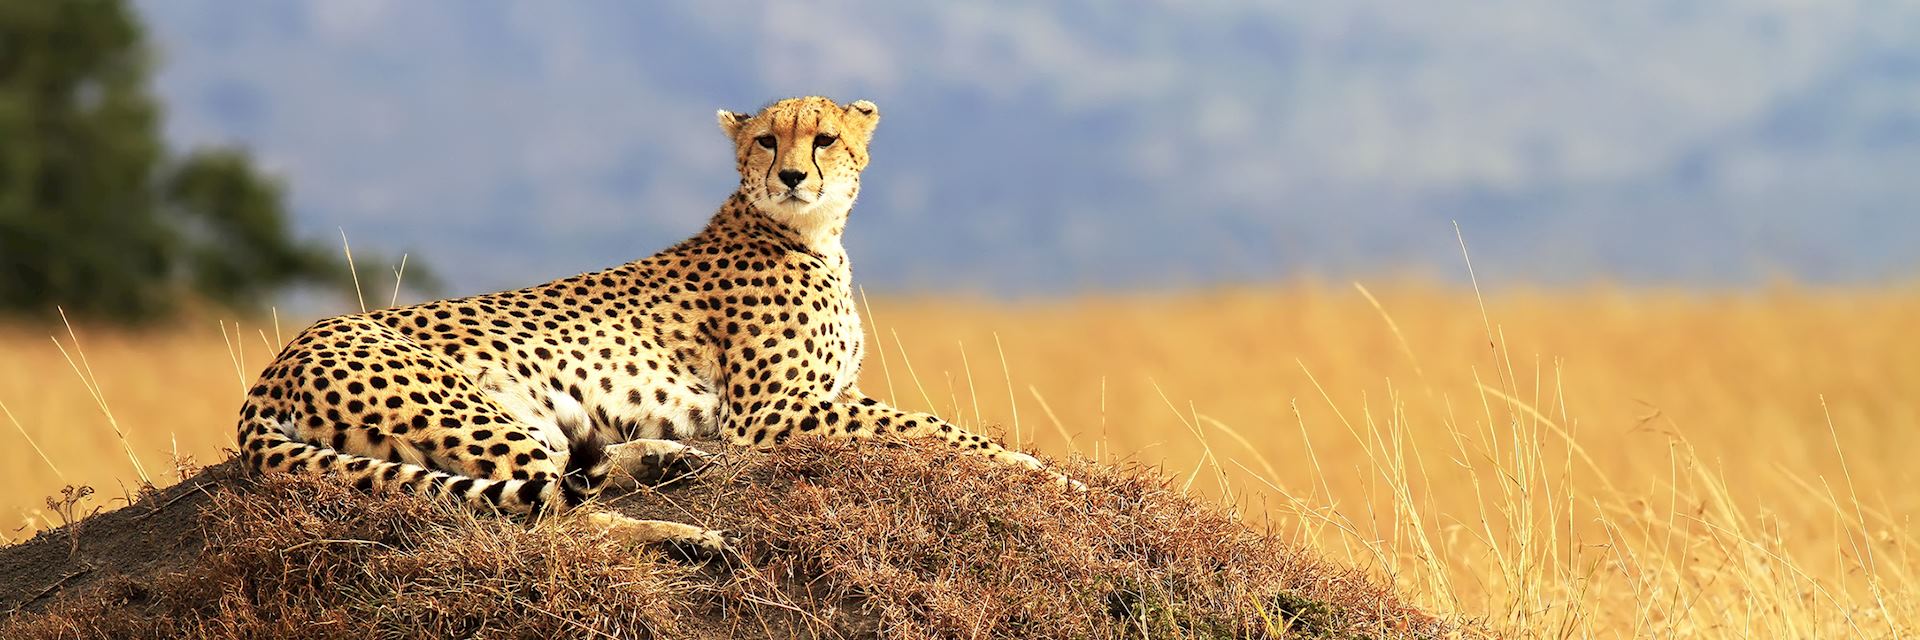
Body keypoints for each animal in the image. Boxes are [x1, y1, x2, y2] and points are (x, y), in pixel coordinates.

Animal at [238, 94, 1075, 553]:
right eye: (767, 140)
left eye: (824, 139)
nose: (792, 175)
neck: (811, 234)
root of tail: (275, 364)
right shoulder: (773, 414)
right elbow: (931, 427)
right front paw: (1041, 471)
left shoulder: (811, 400)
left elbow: (925, 424)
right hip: (472, 411)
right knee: (548, 517)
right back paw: (687, 535)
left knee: (567, 483)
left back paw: (666, 463)